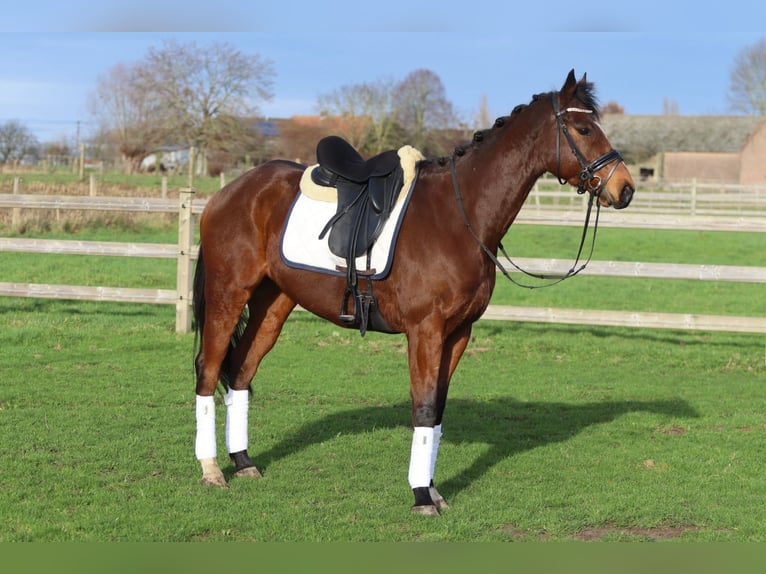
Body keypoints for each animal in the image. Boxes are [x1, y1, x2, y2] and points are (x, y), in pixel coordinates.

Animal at [191, 70, 635, 516]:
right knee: (209, 368)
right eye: (583, 128)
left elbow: (437, 409)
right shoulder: (425, 330)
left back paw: (242, 461)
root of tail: (228, 193)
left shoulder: (458, 333)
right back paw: (211, 470)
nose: (626, 188)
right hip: (229, 295)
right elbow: (422, 406)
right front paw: (422, 497)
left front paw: (434, 490)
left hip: (274, 303)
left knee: (241, 370)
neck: (460, 216)